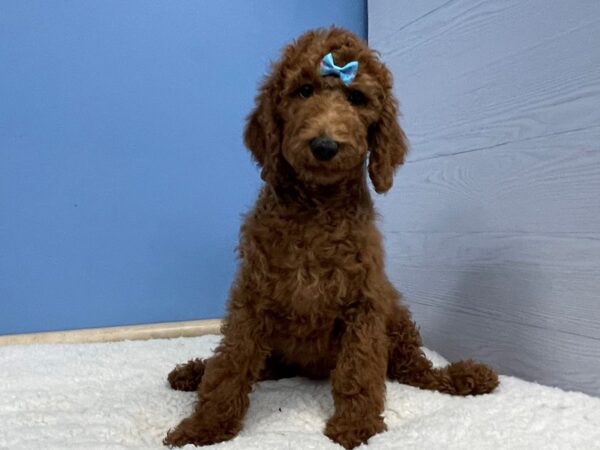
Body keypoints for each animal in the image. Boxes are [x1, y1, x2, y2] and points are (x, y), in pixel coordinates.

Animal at [163, 28, 496, 450]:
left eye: (356, 99)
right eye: (304, 91)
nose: (325, 146)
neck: (317, 205)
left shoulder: (363, 302)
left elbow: (360, 368)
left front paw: (356, 426)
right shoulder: (253, 298)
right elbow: (232, 363)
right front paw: (203, 427)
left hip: (396, 321)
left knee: (414, 369)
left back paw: (460, 376)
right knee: (246, 363)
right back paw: (192, 372)